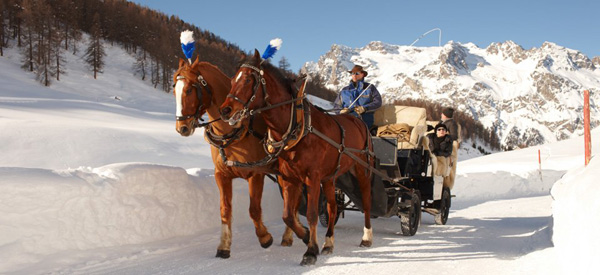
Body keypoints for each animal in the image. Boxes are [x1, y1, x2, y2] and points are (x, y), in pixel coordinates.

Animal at [172, 57, 298, 260]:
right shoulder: (222, 175)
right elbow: (225, 210)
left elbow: (254, 209)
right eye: (174, 89)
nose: (181, 127)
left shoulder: (256, 174)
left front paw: (264, 237)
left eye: (190, 89)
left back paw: (289, 235)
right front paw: (224, 245)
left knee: (293, 201)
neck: (233, 131)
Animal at [218, 50, 372, 266]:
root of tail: (356, 119)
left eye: (248, 79)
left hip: (362, 171)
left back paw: (366, 237)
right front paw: (306, 236)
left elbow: (312, 214)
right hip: (331, 177)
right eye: (233, 80)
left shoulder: (312, 178)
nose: (225, 110)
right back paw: (329, 243)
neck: (298, 127)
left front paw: (310, 251)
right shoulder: (291, 178)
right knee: (333, 207)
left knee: (366, 202)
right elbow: (288, 215)